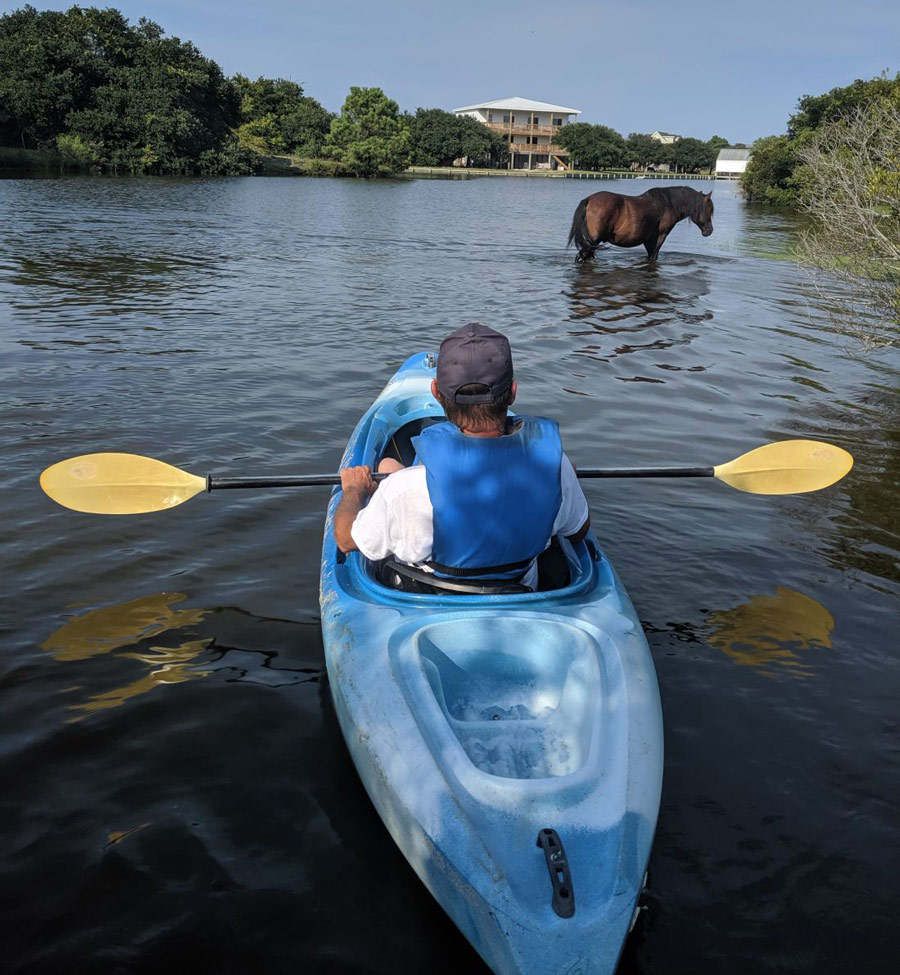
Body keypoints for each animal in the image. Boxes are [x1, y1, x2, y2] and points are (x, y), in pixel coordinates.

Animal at [568, 185, 712, 262]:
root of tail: (588, 200)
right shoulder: (659, 237)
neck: (668, 204)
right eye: (709, 209)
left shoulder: (648, 240)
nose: (709, 231)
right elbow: (653, 257)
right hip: (592, 242)